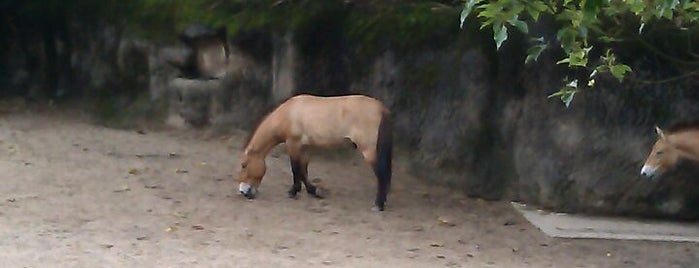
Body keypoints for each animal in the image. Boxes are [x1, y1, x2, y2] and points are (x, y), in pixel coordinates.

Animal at [237, 94, 394, 211]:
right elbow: (303, 170)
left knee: (381, 174)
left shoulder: (293, 144)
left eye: (244, 165)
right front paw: (313, 191)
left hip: (369, 151)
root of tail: (382, 108)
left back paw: (378, 204)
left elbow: (296, 169)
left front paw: (294, 191)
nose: (243, 192)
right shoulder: (305, 148)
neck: (289, 113)